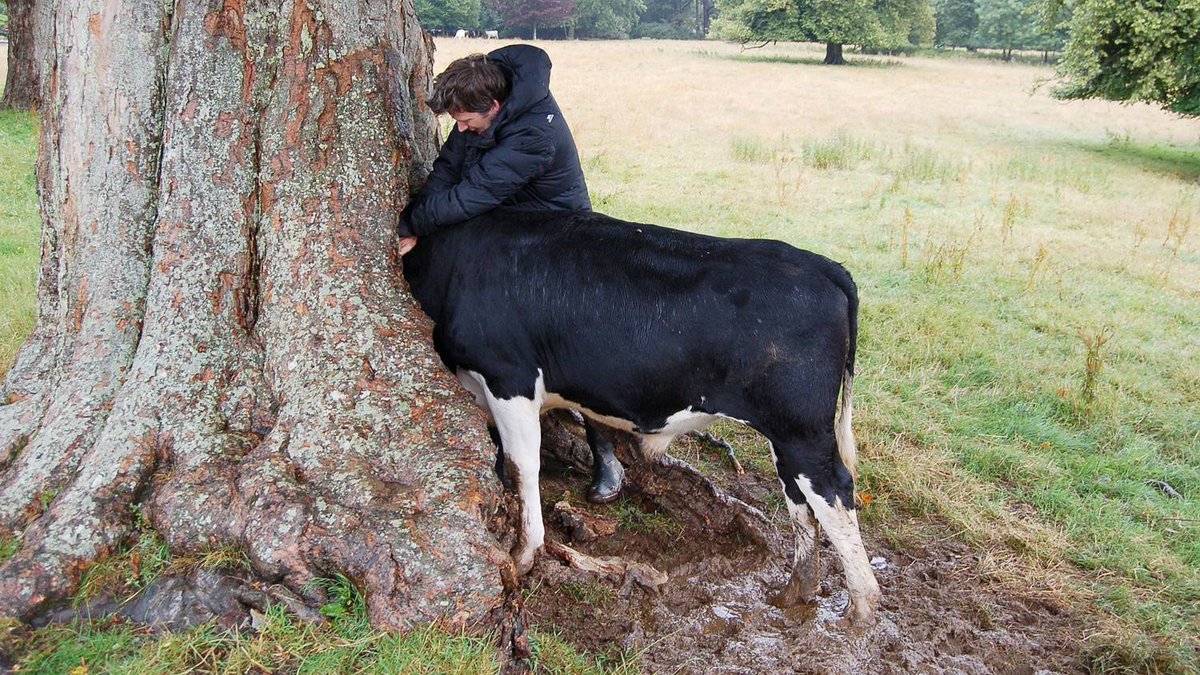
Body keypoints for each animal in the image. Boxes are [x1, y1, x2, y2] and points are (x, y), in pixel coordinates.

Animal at [400, 208, 882, 625]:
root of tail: (821, 265)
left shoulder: (508, 377)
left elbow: (523, 466)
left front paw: (524, 552)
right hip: (787, 434)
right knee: (800, 499)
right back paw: (797, 590)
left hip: (802, 430)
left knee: (835, 492)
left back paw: (861, 605)